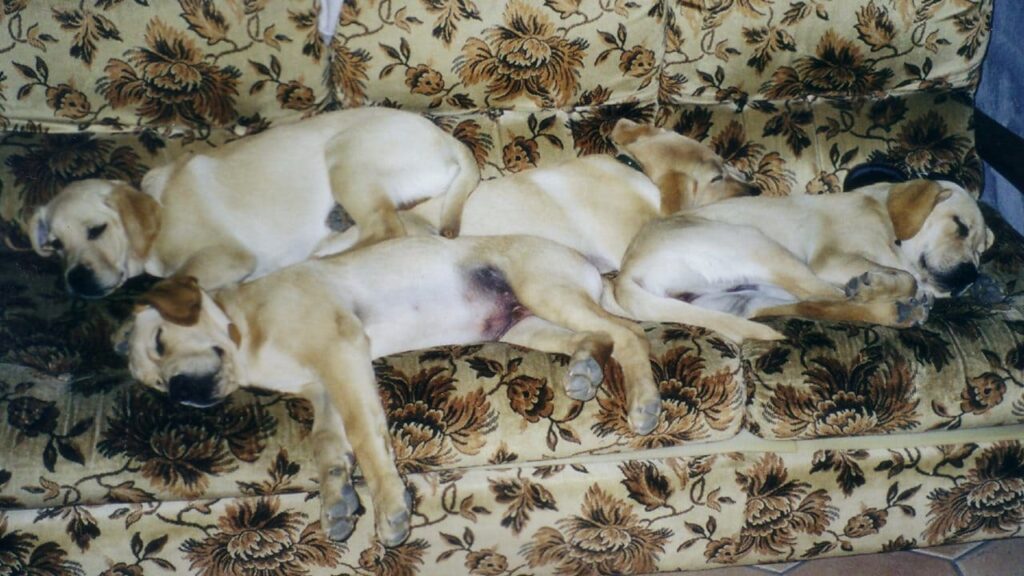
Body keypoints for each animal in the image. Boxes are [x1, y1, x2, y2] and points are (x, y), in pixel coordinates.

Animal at [29, 106, 477, 295]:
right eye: (54, 246)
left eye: (97, 230)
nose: (75, 281)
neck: (158, 212)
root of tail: (446, 137)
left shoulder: (226, 256)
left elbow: (171, 282)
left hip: (345, 153)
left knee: (384, 228)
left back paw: (320, 253)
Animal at [121, 231, 663, 541]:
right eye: (154, 384)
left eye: (162, 340)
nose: (180, 392)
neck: (244, 333)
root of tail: (592, 267)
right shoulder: (324, 389)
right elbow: (325, 443)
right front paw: (337, 500)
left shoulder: (342, 353)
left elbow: (365, 436)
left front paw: (388, 506)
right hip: (523, 323)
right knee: (598, 337)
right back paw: (585, 370)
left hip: (542, 289)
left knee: (629, 333)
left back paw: (643, 402)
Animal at [606, 179, 991, 340]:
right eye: (959, 226)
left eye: (981, 251)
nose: (971, 276)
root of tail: (627, 272)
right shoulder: (832, 259)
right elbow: (906, 276)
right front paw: (884, 283)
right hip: (758, 244)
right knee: (823, 295)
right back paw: (885, 298)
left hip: (743, 299)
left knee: (815, 304)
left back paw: (895, 310)